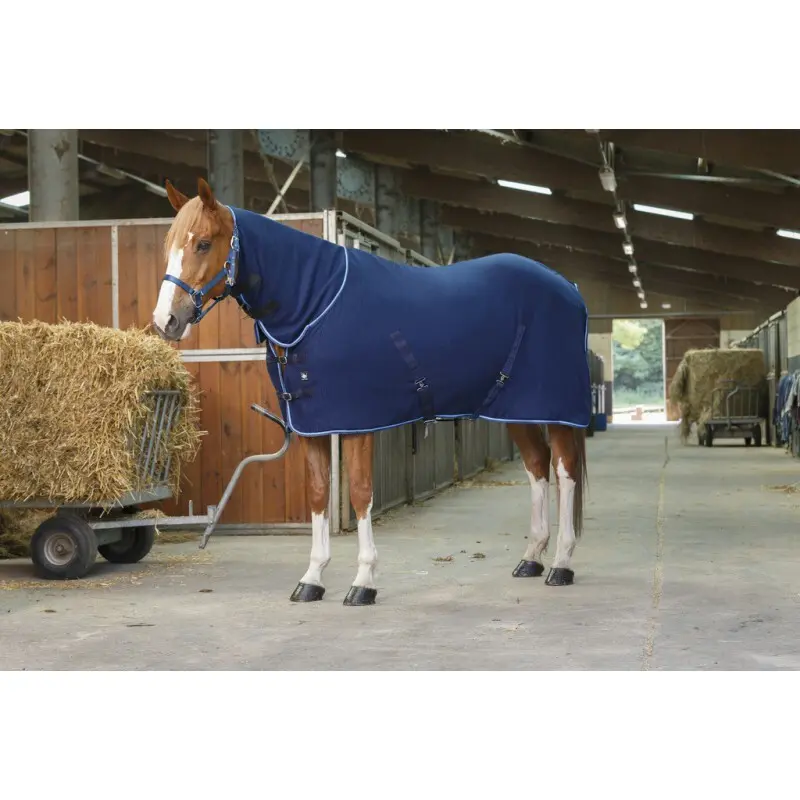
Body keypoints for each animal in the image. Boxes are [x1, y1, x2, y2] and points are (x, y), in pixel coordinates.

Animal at [153, 177, 590, 606]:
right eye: (168, 243)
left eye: (203, 243)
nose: (165, 321)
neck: (316, 305)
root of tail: (568, 288)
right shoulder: (312, 426)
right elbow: (318, 494)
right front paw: (312, 578)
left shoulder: (356, 423)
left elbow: (361, 493)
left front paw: (363, 581)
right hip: (515, 408)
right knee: (537, 465)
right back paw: (531, 558)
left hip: (555, 408)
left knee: (564, 469)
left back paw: (561, 564)